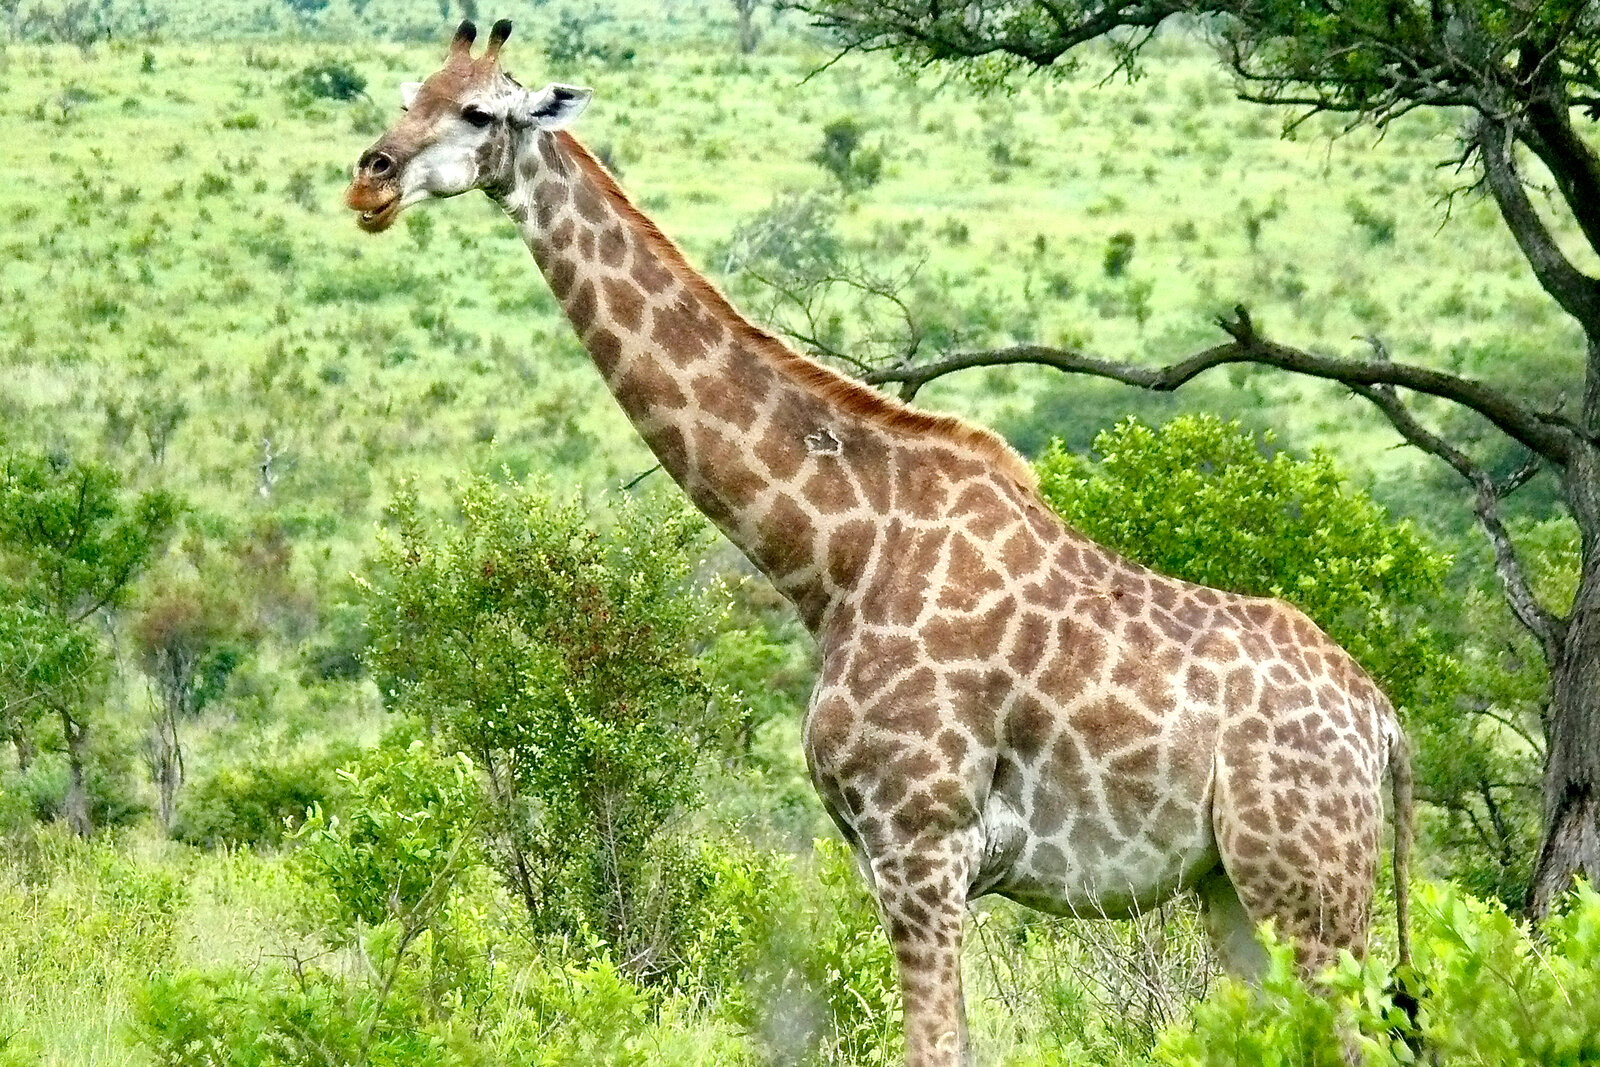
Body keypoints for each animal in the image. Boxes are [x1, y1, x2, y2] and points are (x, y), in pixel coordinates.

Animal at [345, 21, 1413, 1066]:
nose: (371, 177)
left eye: (478, 111)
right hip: (1233, 886)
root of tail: (1384, 722)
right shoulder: (892, 854)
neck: (837, 557)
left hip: (1309, 883)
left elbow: (934, 1046)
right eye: (407, 93)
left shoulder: (922, 843)